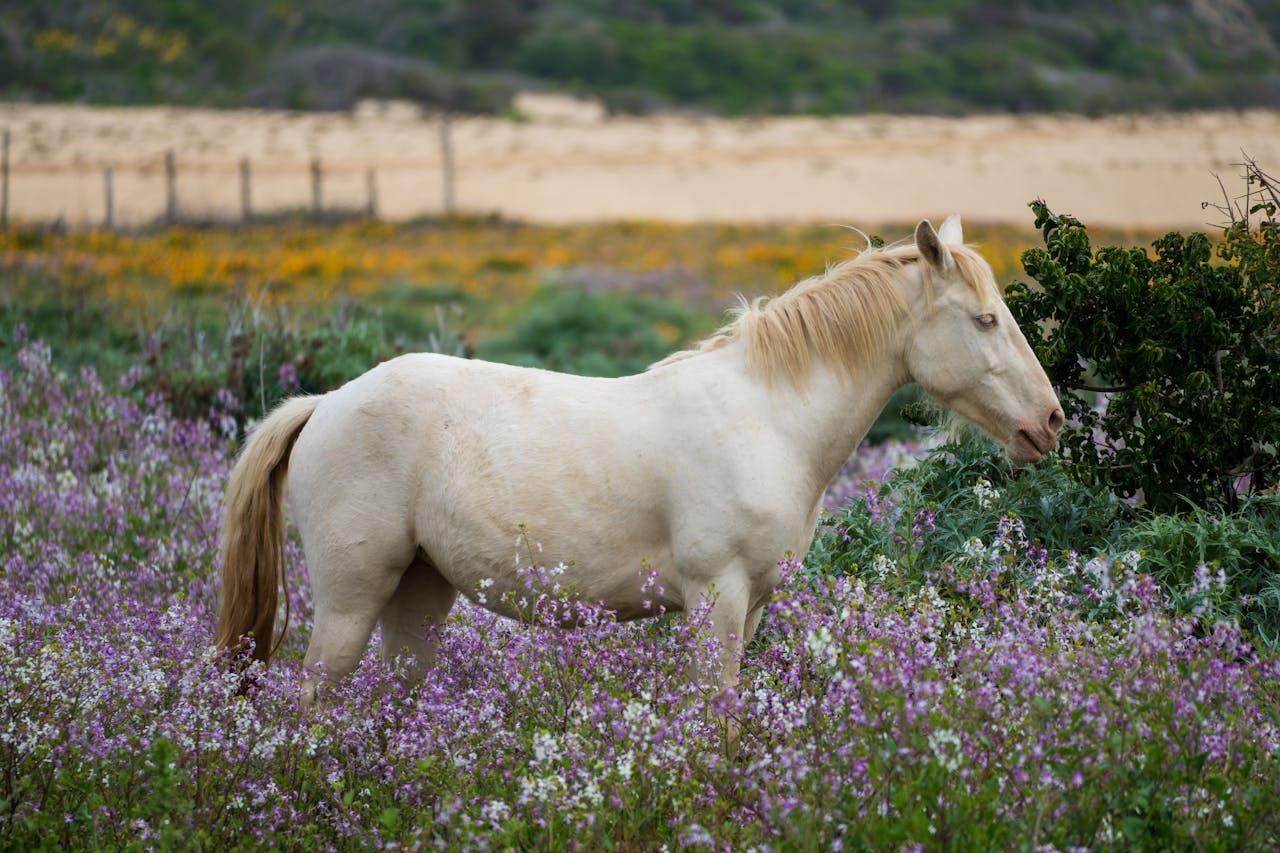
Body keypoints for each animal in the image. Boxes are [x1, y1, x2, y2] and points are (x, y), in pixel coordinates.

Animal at [215, 216, 1064, 701]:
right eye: (984, 319)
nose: (1049, 422)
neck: (766, 417)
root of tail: (324, 402)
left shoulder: (751, 604)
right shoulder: (715, 598)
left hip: (419, 596)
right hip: (351, 604)